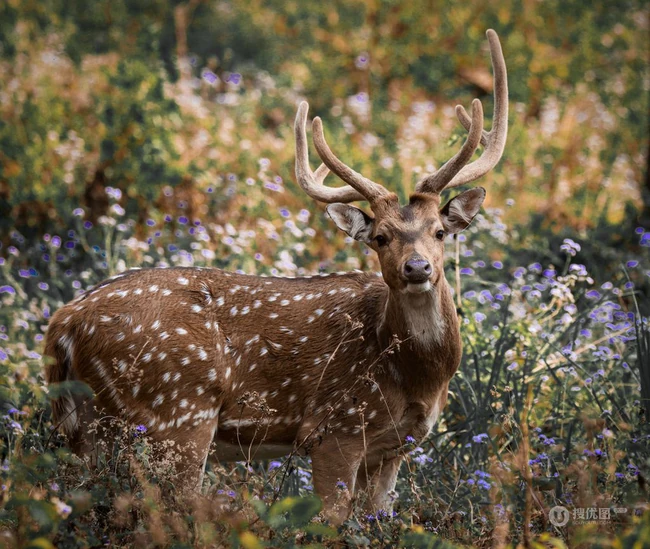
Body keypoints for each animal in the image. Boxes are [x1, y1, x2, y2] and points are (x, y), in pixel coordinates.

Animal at [45, 29, 507, 523]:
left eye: (440, 231)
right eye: (380, 238)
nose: (417, 267)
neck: (414, 376)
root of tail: (63, 323)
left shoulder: (393, 448)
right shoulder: (334, 429)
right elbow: (330, 523)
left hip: (88, 427)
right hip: (177, 412)